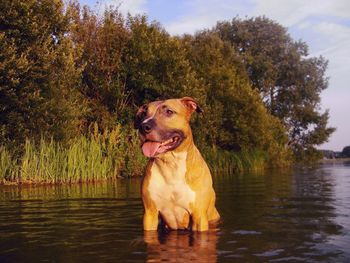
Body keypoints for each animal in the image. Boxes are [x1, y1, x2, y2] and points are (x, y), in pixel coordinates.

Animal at [134, 96, 219, 231]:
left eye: (169, 112)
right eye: (143, 114)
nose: (143, 126)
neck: (171, 164)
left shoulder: (199, 216)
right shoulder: (150, 214)